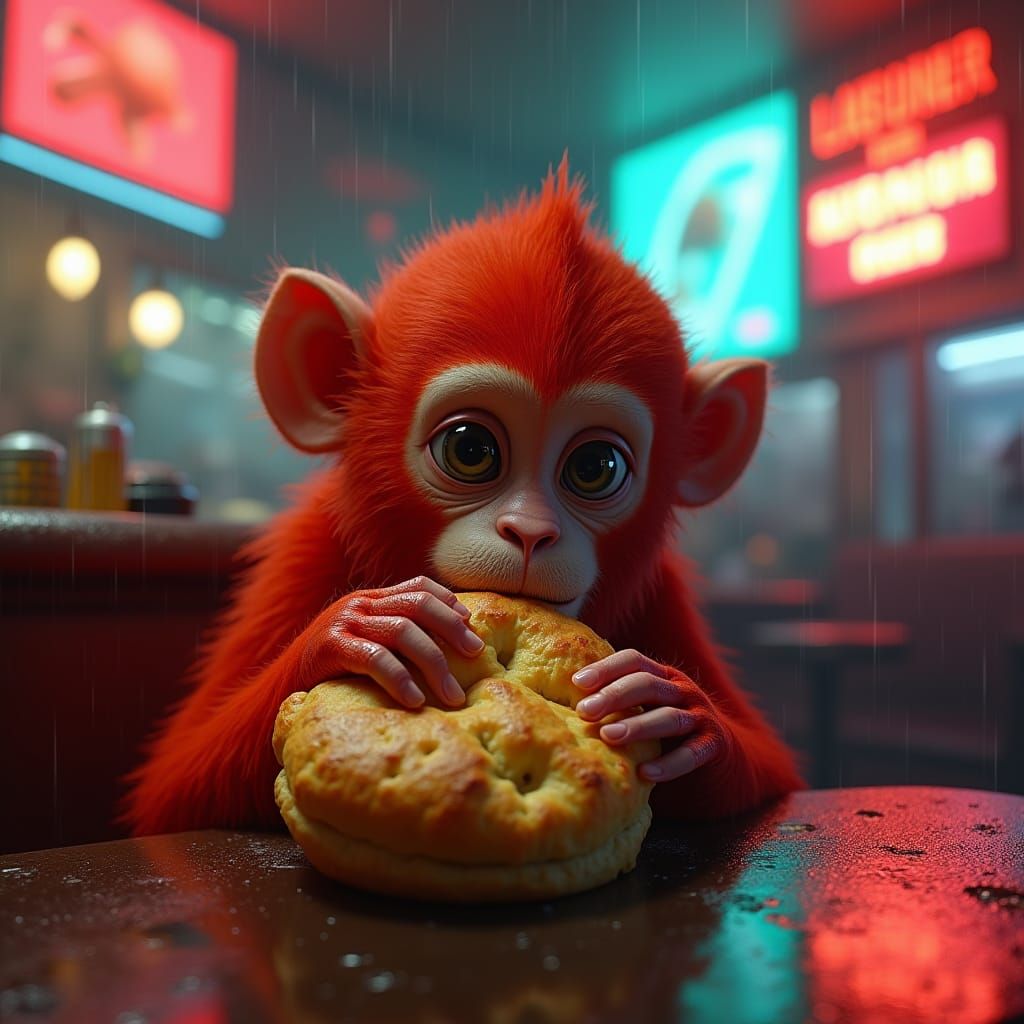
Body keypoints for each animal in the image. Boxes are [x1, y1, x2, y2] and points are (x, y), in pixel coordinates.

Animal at [124, 163, 803, 836]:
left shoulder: (664, 589)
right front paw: (354, 628)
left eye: (594, 467)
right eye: (470, 449)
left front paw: (681, 706)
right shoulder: (304, 550)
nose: (530, 531)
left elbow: (775, 773)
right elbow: (176, 789)